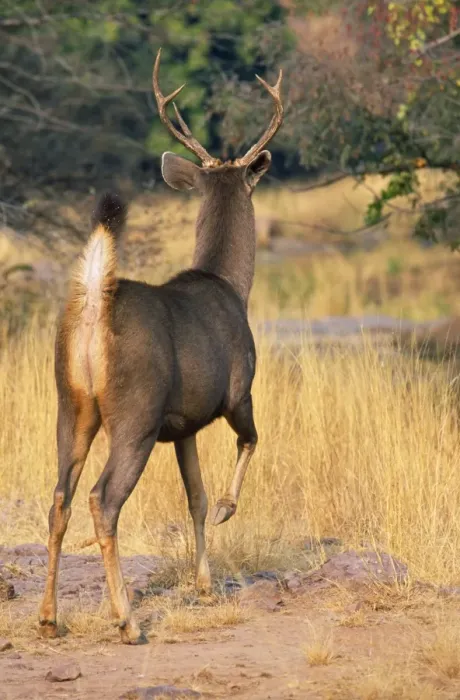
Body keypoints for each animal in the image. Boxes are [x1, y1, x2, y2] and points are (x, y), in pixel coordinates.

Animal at [38, 48, 283, 645]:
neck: (229, 286)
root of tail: (95, 307)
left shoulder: (184, 423)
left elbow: (193, 496)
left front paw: (204, 582)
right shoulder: (237, 390)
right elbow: (250, 443)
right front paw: (227, 511)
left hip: (71, 403)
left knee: (59, 497)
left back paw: (49, 618)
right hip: (136, 410)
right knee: (102, 499)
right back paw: (127, 621)